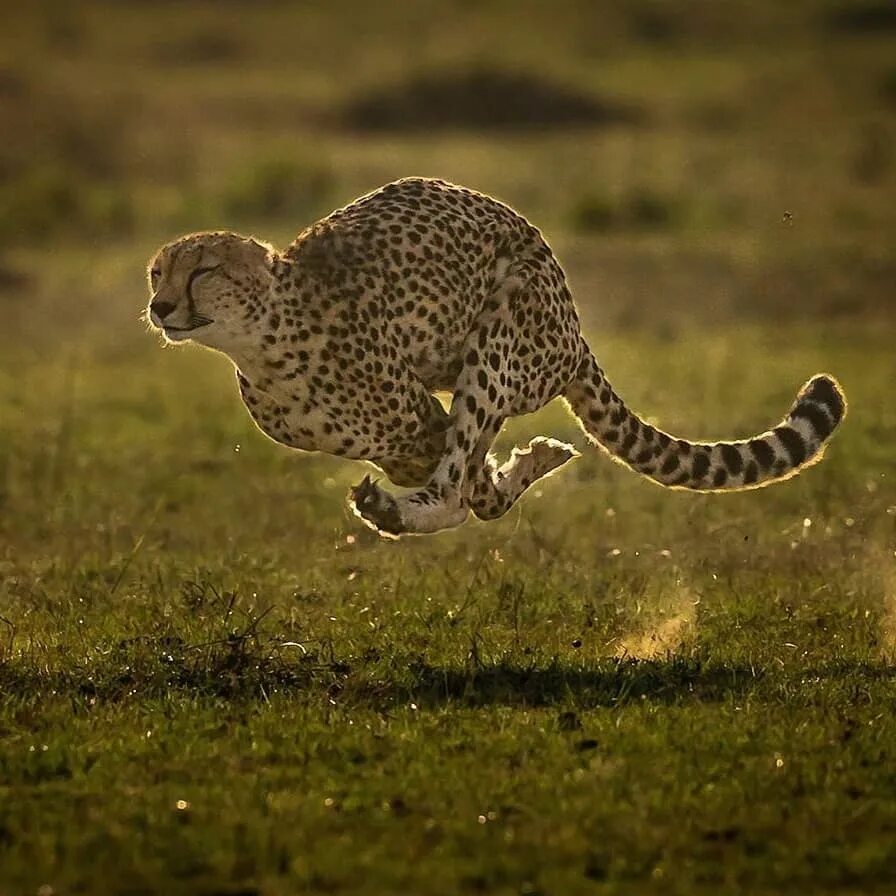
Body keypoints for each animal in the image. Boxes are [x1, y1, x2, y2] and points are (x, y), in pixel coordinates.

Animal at [145, 178, 848, 536]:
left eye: (203, 270)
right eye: (157, 272)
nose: (159, 305)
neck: (264, 341)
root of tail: (575, 330)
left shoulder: (419, 421)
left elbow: (467, 480)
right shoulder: (403, 438)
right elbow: (476, 483)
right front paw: (527, 464)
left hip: (505, 327)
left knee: (460, 482)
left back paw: (406, 510)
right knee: (471, 484)